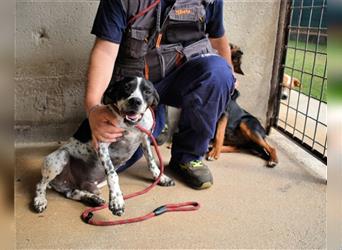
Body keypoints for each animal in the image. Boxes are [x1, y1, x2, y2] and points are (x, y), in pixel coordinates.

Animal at [33, 76, 175, 217]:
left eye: (147, 91)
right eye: (126, 87)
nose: (135, 101)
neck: (130, 125)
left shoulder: (145, 139)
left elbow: (151, 162)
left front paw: (160, 177)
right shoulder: (102, 144)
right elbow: (113, 175)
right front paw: (117, 200)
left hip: (84, 185)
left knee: (72, 193)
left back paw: (92, 198)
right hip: (60, 157)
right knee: (40, 184)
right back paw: (40, 200)